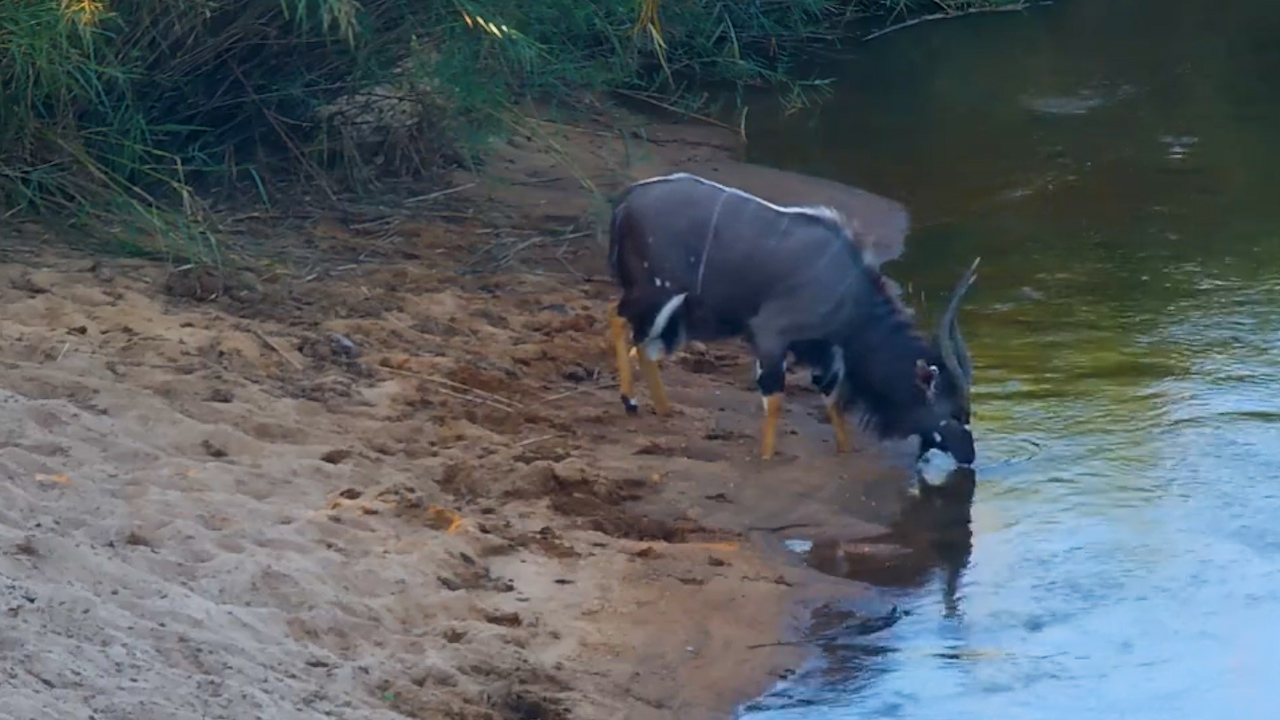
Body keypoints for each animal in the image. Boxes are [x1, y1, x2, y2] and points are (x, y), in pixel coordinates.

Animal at [605, 172, 979, 464]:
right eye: (953, 414)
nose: (970, 456)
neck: (850, 293)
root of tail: (626, 201)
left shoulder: (824, 350)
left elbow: (830, 395)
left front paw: (845, 451)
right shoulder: (771, 333)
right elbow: (775, 398)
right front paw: (767, 458)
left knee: (643, 341)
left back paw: (662, 409)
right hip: (656, 291)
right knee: (619, 317)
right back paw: (630, 401)